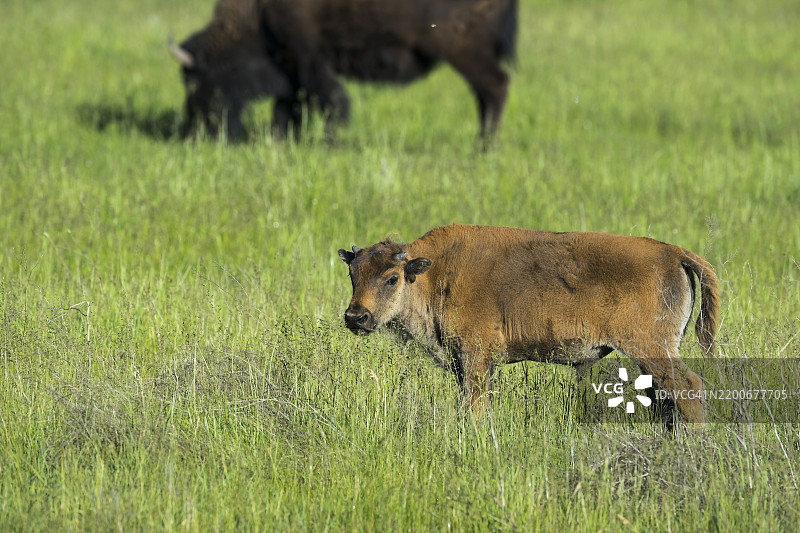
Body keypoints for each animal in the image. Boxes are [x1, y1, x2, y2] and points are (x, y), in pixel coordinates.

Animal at [171, 0, 518, 141]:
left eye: (192, 80)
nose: (197, 133)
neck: (257, 11)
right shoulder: (291, 67)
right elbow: (289, 107)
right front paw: (283, 140)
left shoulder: (307, 57)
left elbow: (331, 102)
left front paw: (329, 143)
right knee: (487, 92)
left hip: (462, 51)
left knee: (495, 86)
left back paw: (485, 146)